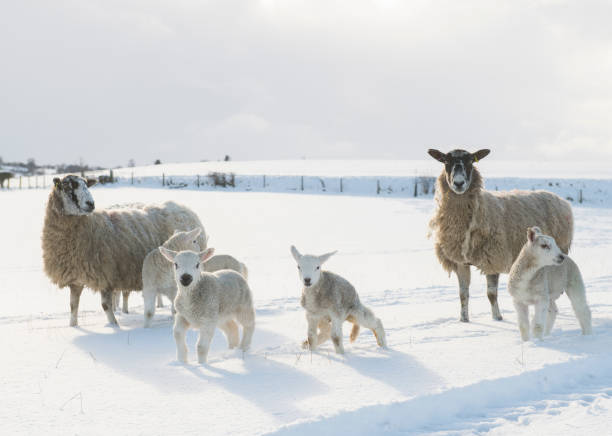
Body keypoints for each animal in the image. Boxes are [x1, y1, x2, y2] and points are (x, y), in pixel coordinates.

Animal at [41, 175, 208, 326]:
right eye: (68, 187)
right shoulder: (75, 278)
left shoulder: (106, 275)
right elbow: (73, 306)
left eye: (87, 185)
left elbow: (105, 306)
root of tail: (184, 208)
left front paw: (114, 326)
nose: (91, 203)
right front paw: (73, 326)